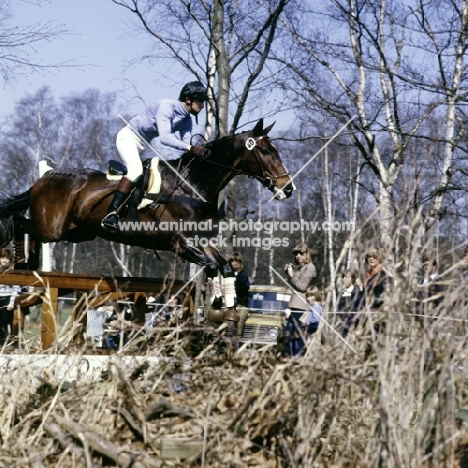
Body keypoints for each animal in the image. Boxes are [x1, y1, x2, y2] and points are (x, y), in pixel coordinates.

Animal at [0, 118, 294, 308]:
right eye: (265, 150)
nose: (288, 188)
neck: (193, 185)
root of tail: (46, 177)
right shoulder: (178, 243)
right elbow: (211, 266)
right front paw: (218, 300)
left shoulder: (200, 241)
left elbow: (224, 266)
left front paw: (226, 299)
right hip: (53, 227)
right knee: (20, 222)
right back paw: (21, 263)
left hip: (78, 232)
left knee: (28, 228)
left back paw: (29, 265)